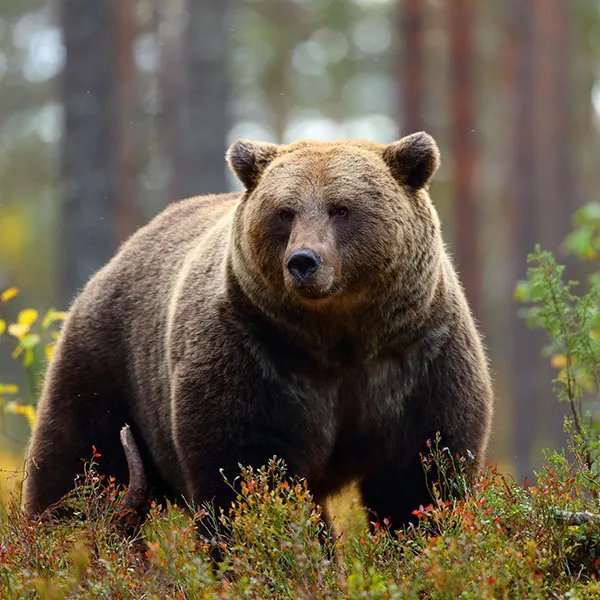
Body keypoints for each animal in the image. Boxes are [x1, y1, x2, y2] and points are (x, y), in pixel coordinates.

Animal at [23, 131, 492, 528]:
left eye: (342, 208)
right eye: (285, 212)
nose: (303, 261)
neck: (341, 338)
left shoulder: (418, 357)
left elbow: (421, 478)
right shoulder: (254, 355)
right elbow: (247, 472)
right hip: (109, 363)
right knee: (78, 464)